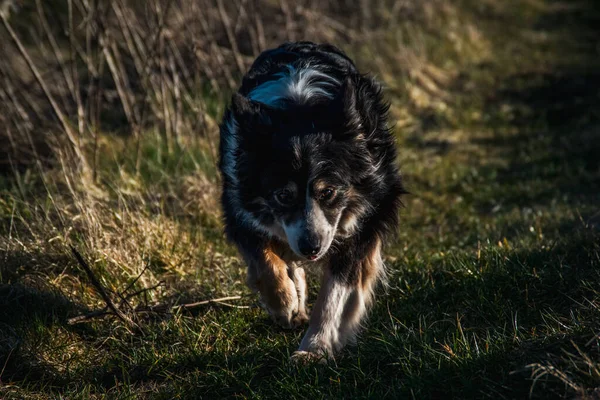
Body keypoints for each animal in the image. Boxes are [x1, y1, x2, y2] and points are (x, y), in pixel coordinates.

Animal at [218, 41, 406, 360]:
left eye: (328, 192)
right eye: (283, 195)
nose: (311, 249)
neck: (298, 108)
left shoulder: (365, 214)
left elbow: (336, 290)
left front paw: (315, 348)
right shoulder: (240, 204)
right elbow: (264, 258)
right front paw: (283, 303)